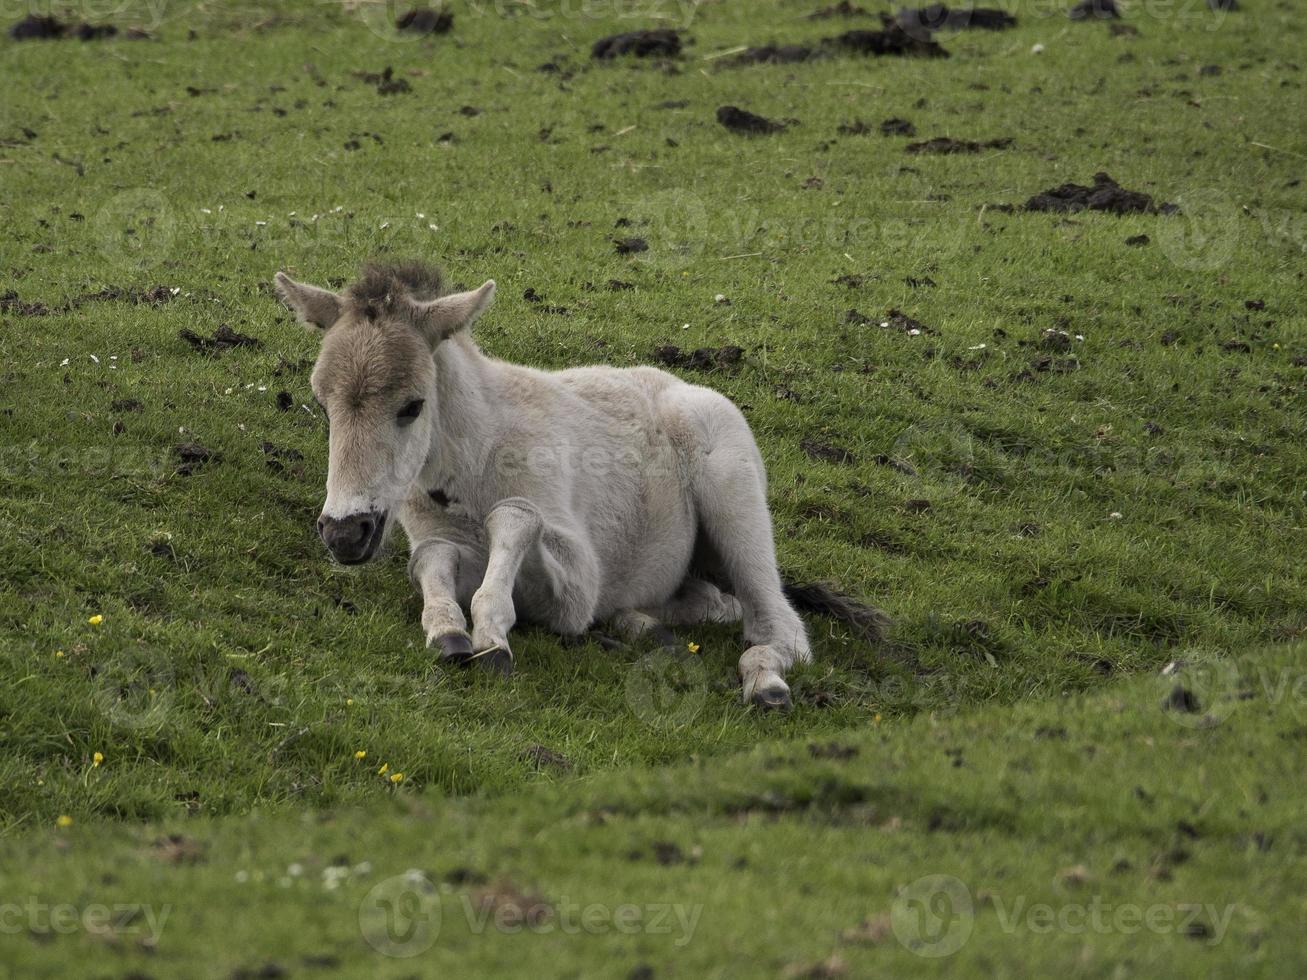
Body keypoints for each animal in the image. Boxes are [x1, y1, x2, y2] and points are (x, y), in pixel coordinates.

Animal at [275, 257, 888, 710]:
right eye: (322, 404)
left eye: (412, 406)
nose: (344, 533)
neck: (476, 456)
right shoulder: (435, 537)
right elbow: (432, 561)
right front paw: (447, 630)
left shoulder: (574, 583)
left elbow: (516, 519)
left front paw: (491, 634)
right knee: (713, 604)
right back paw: (643, 625)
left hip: (732, 495)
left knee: (776, 622)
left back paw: (765, 681)